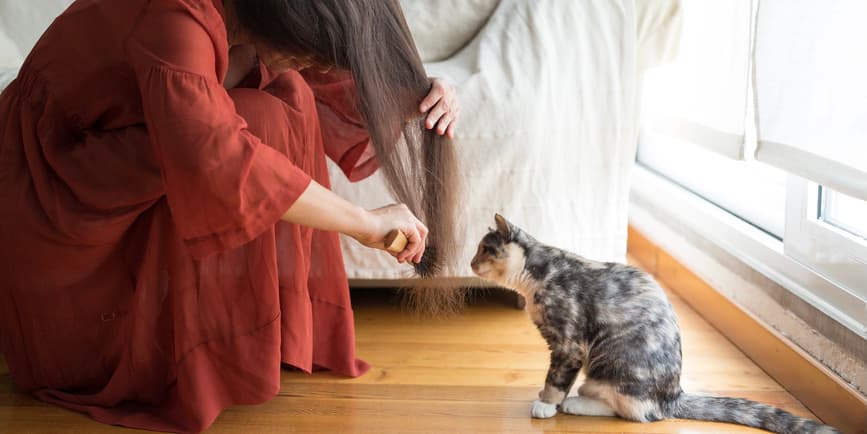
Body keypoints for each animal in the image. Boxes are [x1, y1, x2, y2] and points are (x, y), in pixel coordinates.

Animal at [468, 214, 840, 434]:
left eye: (485, 248)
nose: (470, 263)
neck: (541, 274)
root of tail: (674, 394)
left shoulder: (568, 344)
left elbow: (556, 378)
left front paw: (546, 403)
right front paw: (547, 399)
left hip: (611, 365)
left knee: (637, 413)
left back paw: (578, 402)